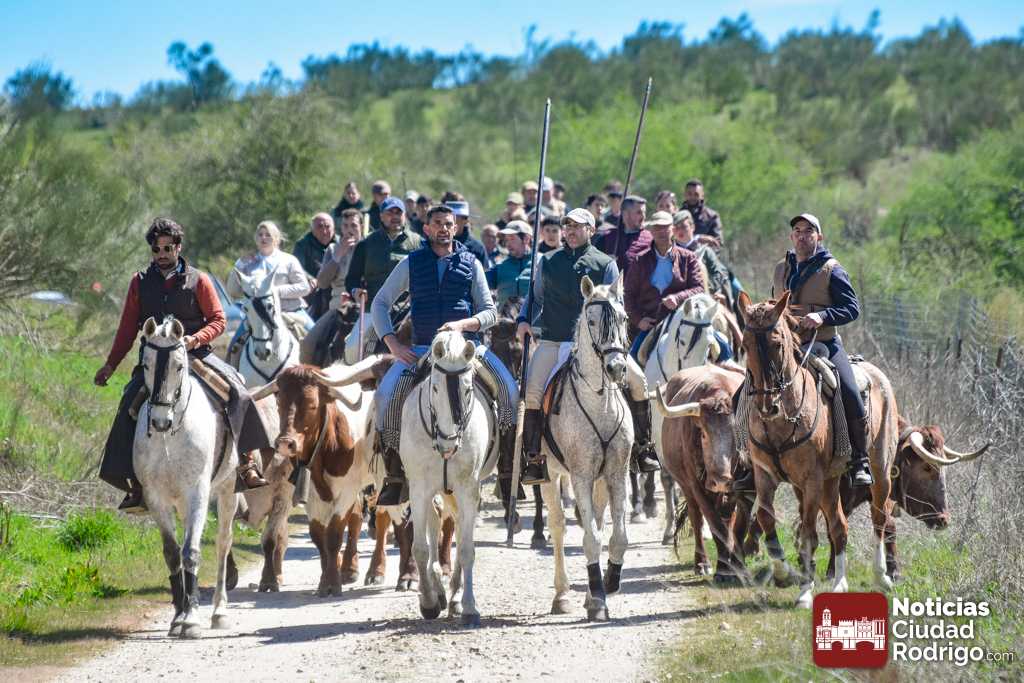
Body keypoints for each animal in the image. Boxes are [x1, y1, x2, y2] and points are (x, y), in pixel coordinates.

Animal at [133, 317, 238, 638]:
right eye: (146, 364)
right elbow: (172, 552)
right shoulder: (156, 497)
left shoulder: (198, 494)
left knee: (223, 542)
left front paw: (191, 619)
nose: (160, 421)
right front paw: (179, 614)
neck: (171, 436)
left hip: (228, 490)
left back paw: (219, 611)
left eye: (179, 366)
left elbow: (191, 551)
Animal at [401, 331, 500, 626]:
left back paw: (454, 596)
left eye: (467, 389)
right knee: (435, 523)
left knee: (456, 524)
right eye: (434, 388)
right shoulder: (418, 489)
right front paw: (428, 602)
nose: (448, 443)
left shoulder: (468, 489)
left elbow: (467, 549)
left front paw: (468, 606)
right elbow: (420, 548)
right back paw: (439, 590)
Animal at [541, 274, 634, 622]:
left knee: (600, 520)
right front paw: (598, 600)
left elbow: (617, 536)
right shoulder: (579, 476)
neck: (600, 403)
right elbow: (590, 538)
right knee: (557, 527)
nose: (616, 368)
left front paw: (610, 581)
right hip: (549, 476)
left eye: (623, 318)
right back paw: (563, 595)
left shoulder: (617, 474)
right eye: (592, 321)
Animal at [737, 291, 855, 608]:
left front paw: (804, 591)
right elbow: (766, 520)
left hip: (840, 479)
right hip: (828, 482)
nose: (767, 406)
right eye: (745, 345)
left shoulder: (812, 480)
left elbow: (809, 534)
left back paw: (841, 582)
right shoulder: (764, 474)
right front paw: (782, 574)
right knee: (837, 525)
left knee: (837, 526)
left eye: (777, 343)